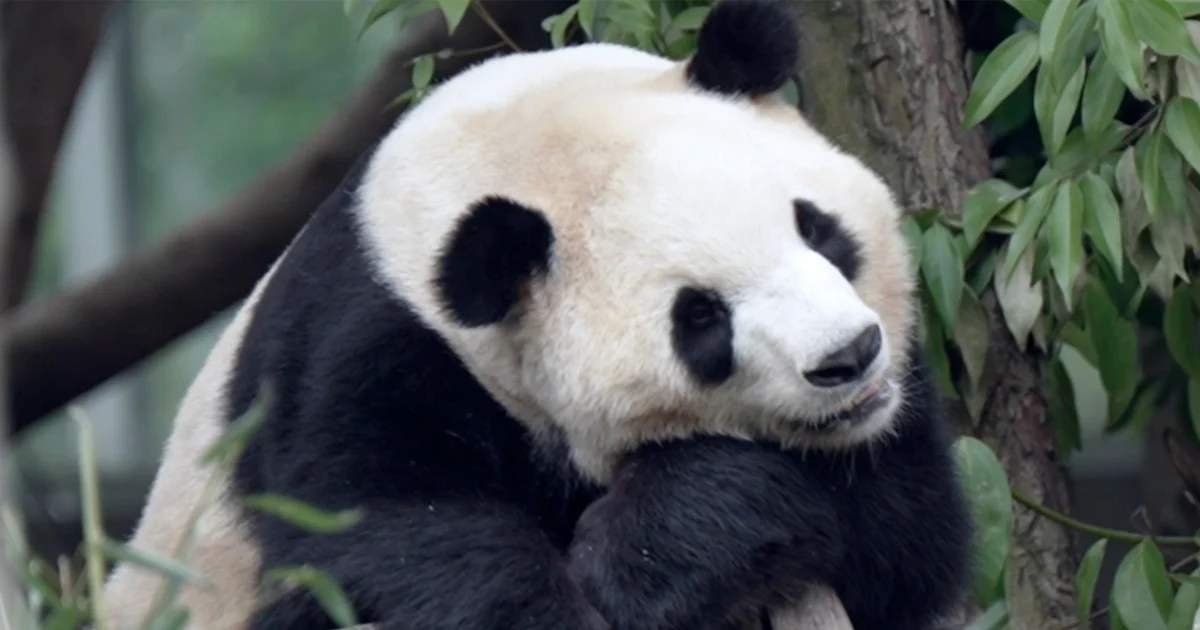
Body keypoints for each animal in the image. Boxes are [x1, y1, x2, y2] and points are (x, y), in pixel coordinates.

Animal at [100, 1, 972, 629]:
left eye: (816, 228)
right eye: (701, 320)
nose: (849, 355)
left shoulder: (887, 422)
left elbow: (900, 532)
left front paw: (645, 556)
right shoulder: (366, 347)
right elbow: (382, 530)